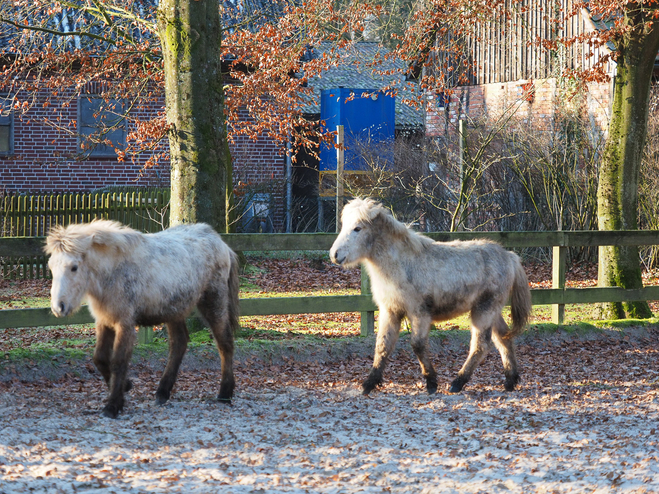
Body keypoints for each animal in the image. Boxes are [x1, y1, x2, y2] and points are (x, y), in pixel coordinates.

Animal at [47, 220, 242, 416]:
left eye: (74, 267)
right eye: (51, 267)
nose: (58, 307)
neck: (113, 271)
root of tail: (222, 244)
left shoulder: (124, 324)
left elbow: (118, 361)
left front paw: (113, 405)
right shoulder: (104, 321)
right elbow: (100, 358)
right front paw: (126, 386)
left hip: (213, 302)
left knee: (224, 343)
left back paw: (224, 394)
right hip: (174, 310)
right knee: (179, 343)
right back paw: (162, 392)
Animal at [330, 199, 532, 396]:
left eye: (357, 228)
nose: (335, 255)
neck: (402, 264)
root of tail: (510, 257)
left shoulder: (420, 313)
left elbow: (418, 345)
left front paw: (431, 383)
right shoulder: (391, 311)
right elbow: (383, 346)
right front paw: (369, 384)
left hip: (484, 311)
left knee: (481, 345)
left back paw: (458, 382)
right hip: (491, 311)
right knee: (504, 338)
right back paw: (510, 381)